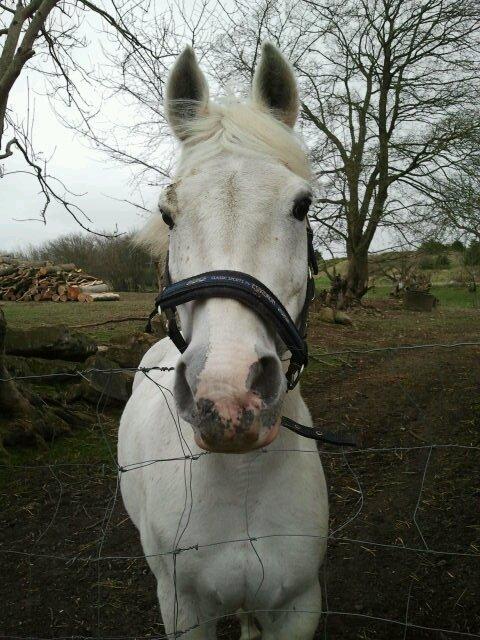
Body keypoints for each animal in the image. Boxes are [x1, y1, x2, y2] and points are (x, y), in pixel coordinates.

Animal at [119, 42, 330, 636]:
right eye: (168, 213)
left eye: (302, 205)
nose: (227, 395)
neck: (241, 478)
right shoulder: (183, 609)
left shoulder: (298, 605)